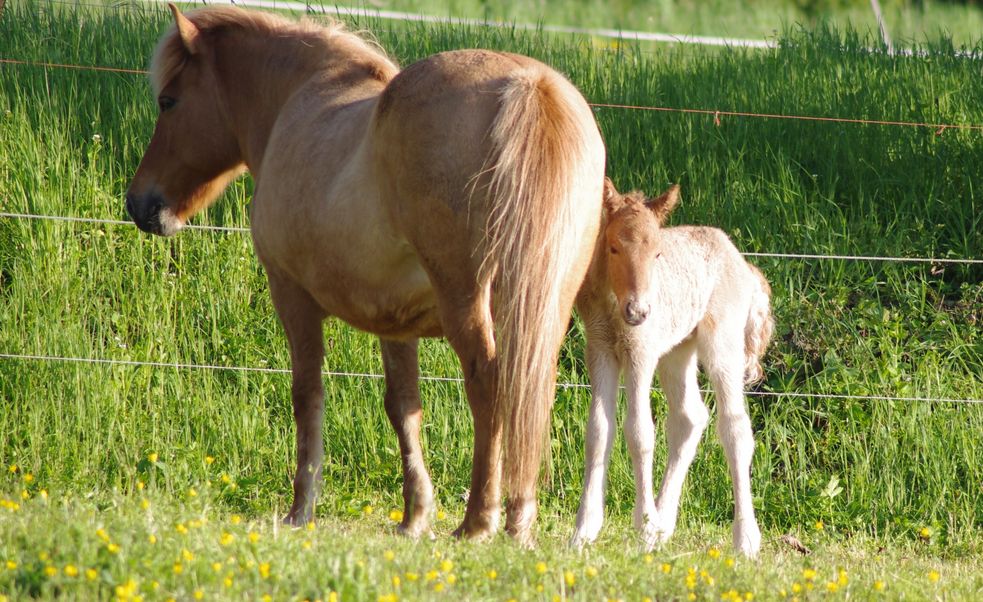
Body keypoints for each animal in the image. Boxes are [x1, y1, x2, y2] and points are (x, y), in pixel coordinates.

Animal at [125, 4, 608, 540]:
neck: (298, 99)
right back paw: (518, 523)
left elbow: (307, 395)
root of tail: (529, 85)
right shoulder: (396, 324)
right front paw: (415, 516)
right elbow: (403, 408)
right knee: (529, 390)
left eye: (168, 101)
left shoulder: (291, 295)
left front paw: (301, 509)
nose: (141, 203)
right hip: (545, 305)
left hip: (466, 301)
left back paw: (478, 520)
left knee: (488, 383)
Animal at [572, 179, 772, 556]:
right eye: (613, 247)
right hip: (678, 352)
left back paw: (745, 539)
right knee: (689, 417)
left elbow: (639, 432)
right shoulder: (601, 349)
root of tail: (742, 263)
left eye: (657, 253)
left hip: (722, 344)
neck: (615, 306)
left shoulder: (641, 351)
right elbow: (599, 431)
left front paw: (643, 526)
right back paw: (664, 527)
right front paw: (584, 531)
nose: (639, 310)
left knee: (735, 427)